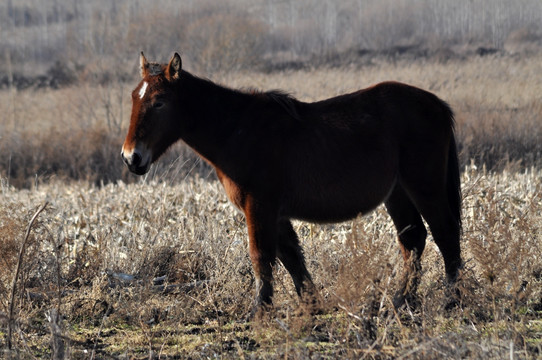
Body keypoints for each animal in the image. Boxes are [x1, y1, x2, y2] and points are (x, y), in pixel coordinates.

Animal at [122, 52, 464, 316]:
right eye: (134, 98)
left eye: (159, 102)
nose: (131, 158)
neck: (239, 130)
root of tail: (438, 105)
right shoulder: (276, 213)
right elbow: (292, 258)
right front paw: (312, 307)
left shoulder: (259, 207)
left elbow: (262, 257)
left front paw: (260, 312)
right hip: (398, 194)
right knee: (413, 240)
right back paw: (401, 301)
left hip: (425, 187)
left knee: (445, 234)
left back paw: (451, 301)